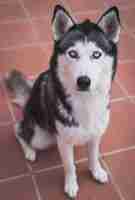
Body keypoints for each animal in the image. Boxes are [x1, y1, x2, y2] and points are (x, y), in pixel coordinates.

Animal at [3, 4, 120, 198]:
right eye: (73, 53)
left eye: (96, 54)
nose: (84, 81)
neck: (85, 102)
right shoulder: (63, 142)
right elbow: (70, 166)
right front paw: (71, 185)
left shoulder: (96, 134)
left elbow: (94, 156)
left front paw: (96, 171)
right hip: (41, 137)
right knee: (18, 129)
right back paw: (29, 151)